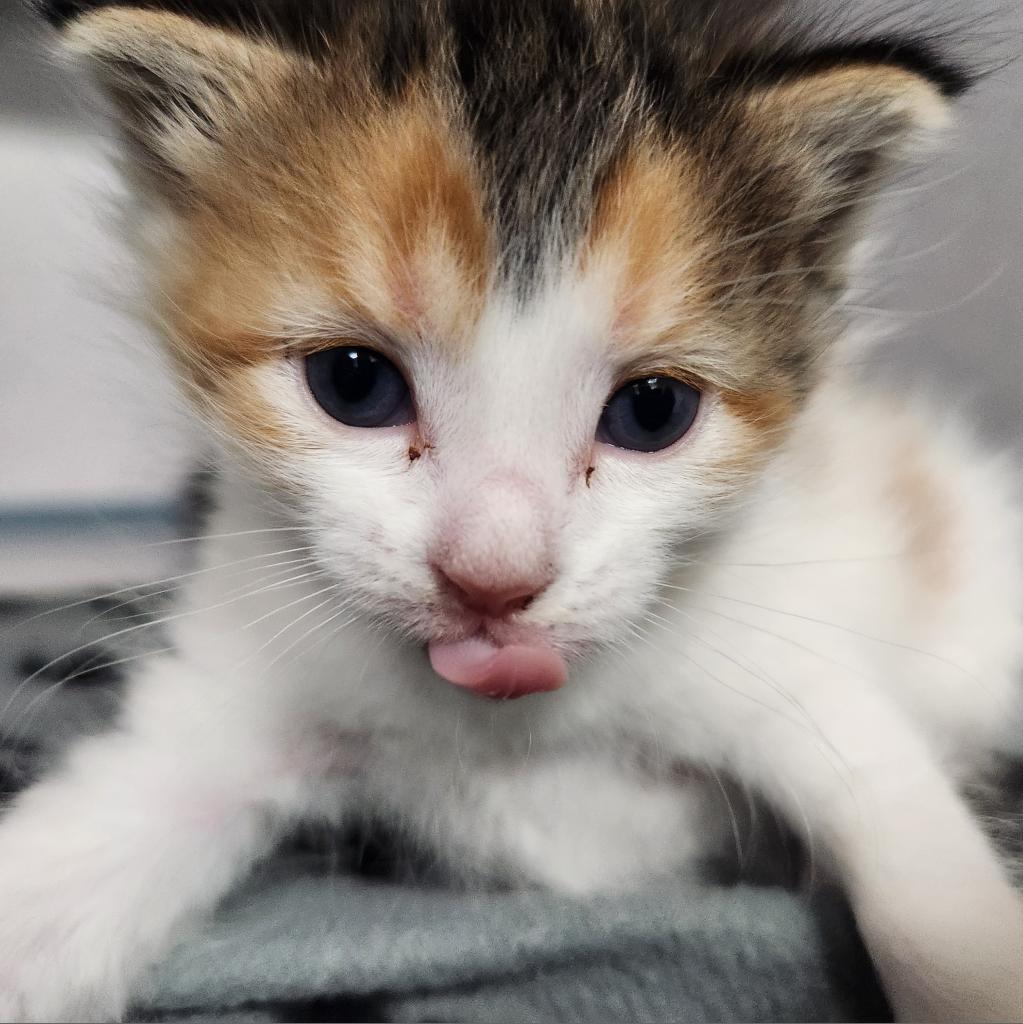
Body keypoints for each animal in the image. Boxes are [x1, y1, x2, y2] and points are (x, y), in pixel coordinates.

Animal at [6, 0, 1023, 1019]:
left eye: (653, 411)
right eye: (353, 384)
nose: (492, 581)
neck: (510, 732)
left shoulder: (798, 679)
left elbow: (929, 895)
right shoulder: (230, 694)